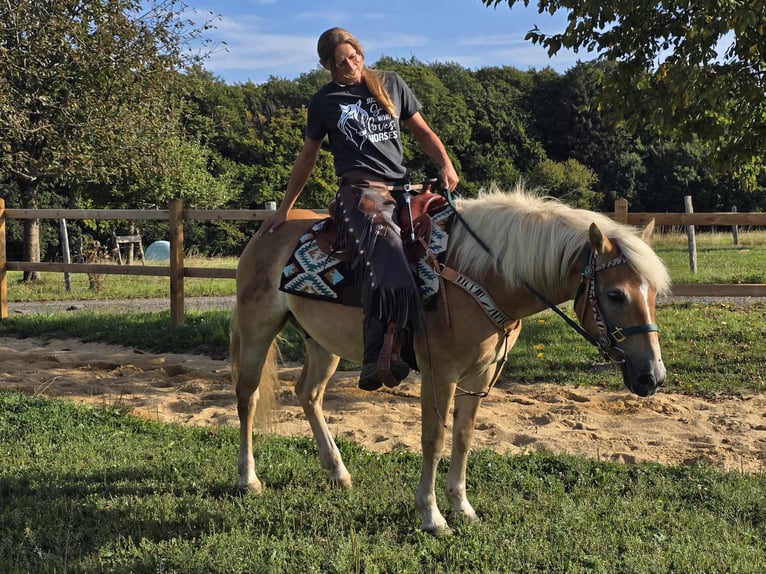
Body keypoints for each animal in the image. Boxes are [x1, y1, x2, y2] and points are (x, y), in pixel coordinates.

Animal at [232, 184, 672, 536]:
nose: (652, 377)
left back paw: (337, 471)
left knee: (308, 394)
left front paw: (461, 506)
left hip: (322, 343)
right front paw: (431, 516)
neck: (481, 275)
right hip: (257, 330)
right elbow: (434, 438)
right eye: (615, 294)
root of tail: (269, 228)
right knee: (247, 398)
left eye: (653, 294)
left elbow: (463, 436)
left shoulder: (479, 375)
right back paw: (248, 479)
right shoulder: (439, 374)